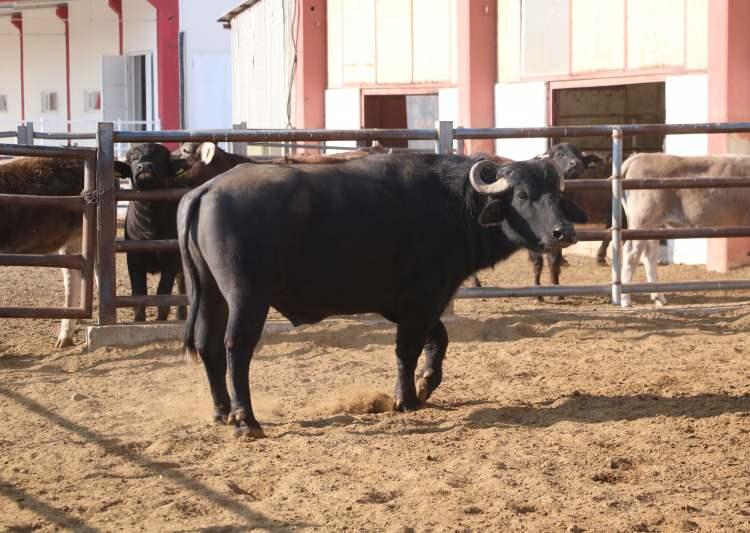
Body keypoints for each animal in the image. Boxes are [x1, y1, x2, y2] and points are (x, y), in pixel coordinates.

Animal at [179, 150, 592, 436]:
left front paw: (426, 384)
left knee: (207, 344)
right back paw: (245, 420)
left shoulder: (416, 304)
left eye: (555, 194)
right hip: (246, 296)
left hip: (212, 295)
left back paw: (221, 411)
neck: (454, 203)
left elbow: (438, 339)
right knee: (236, 348)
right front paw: (406, 398)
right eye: (522, 194)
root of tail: (206, 190)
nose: (564, 232)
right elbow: (407, 350)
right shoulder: (422, 298)